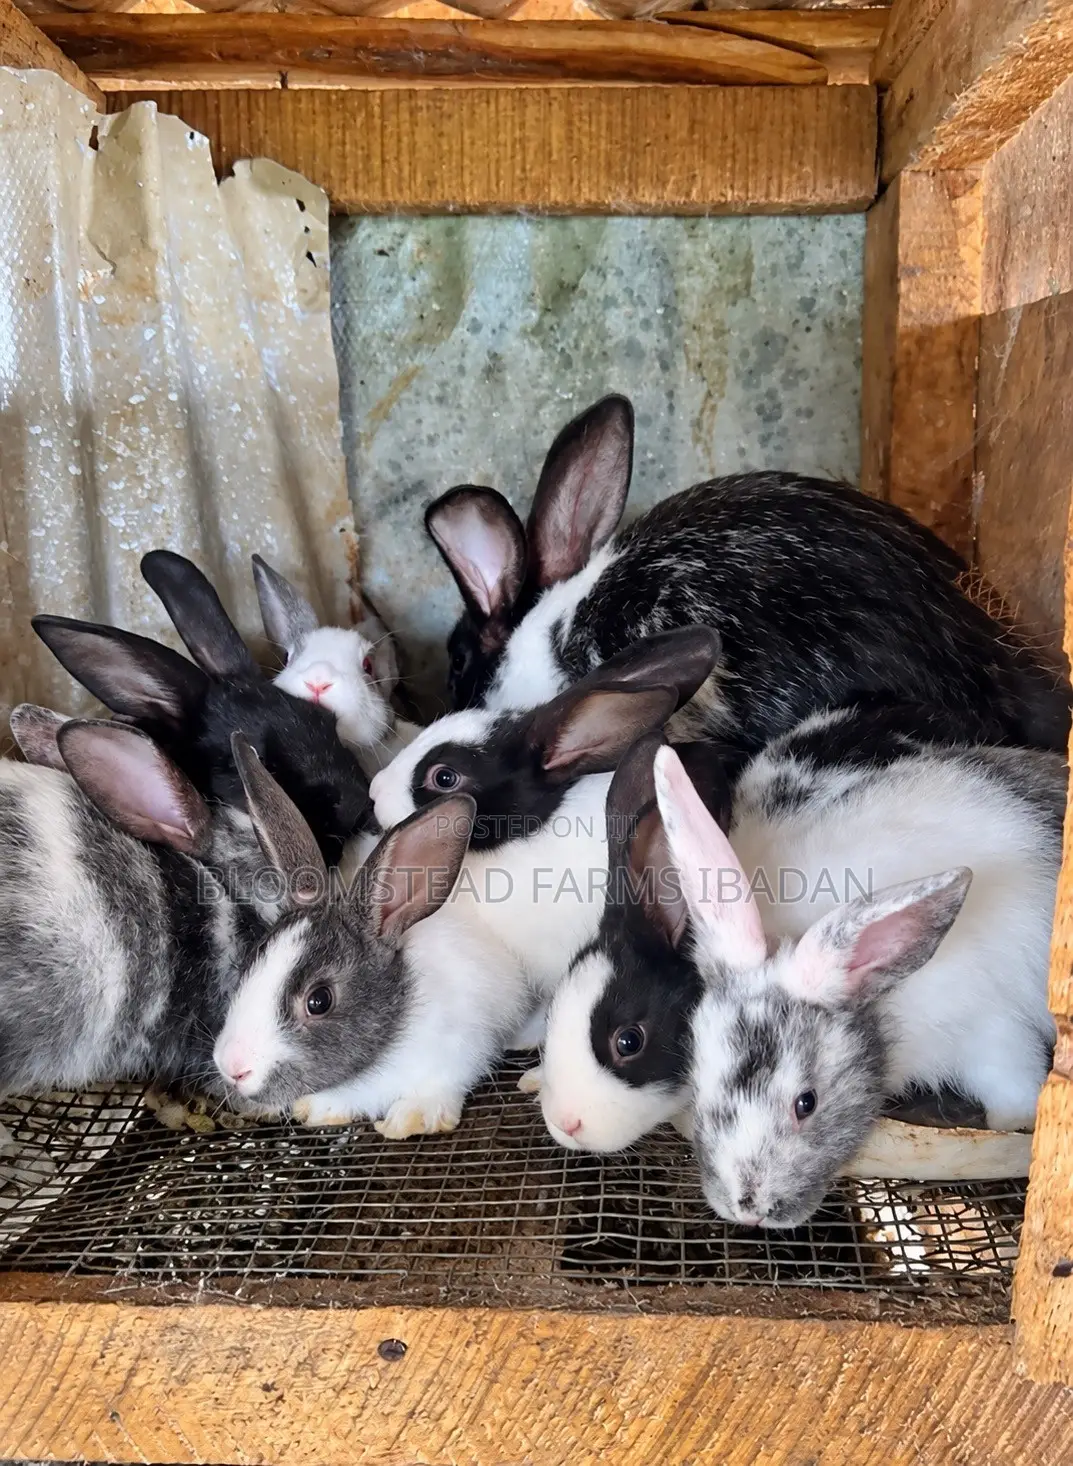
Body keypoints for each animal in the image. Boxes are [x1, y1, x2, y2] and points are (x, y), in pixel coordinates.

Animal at [212, 739, 534, 1138]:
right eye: (250, 962)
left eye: (319, 1001)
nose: (232, 1066)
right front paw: (319, 1110)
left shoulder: (462, 1049)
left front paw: (412, 1117)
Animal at [652, 728, 1063, 1229]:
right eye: (698, 1082)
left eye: (806, 1103)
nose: (748, 1210)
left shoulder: (993, 1036)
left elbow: (1014, 1103)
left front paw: (1008, 1122)